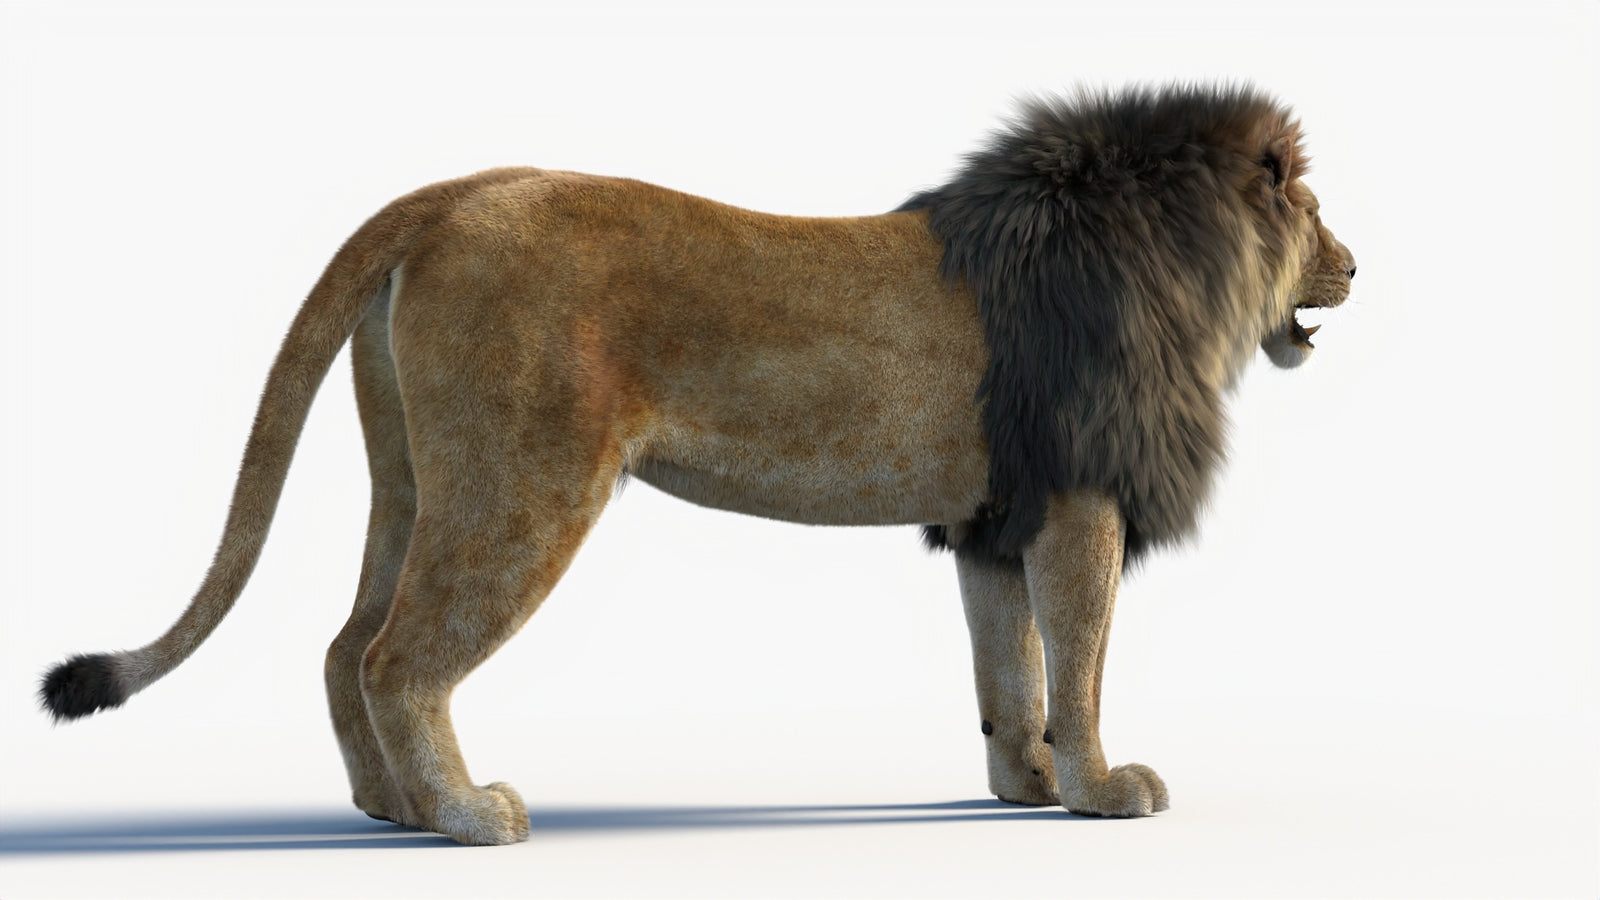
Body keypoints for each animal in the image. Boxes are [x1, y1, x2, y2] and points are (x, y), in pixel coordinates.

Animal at [40, 84, 1354, 845]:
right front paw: (1098, 792)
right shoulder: (1080, 498)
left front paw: (1024, 787)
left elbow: (1010, 669)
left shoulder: (996, 516)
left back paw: (387, 811)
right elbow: (1075, 660)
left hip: (415, 480)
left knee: (340, 642)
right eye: (1312, 212)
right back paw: (466, 816)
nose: (1355, 265)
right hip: (523, 484)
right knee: (398, 656)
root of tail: (446, 196)